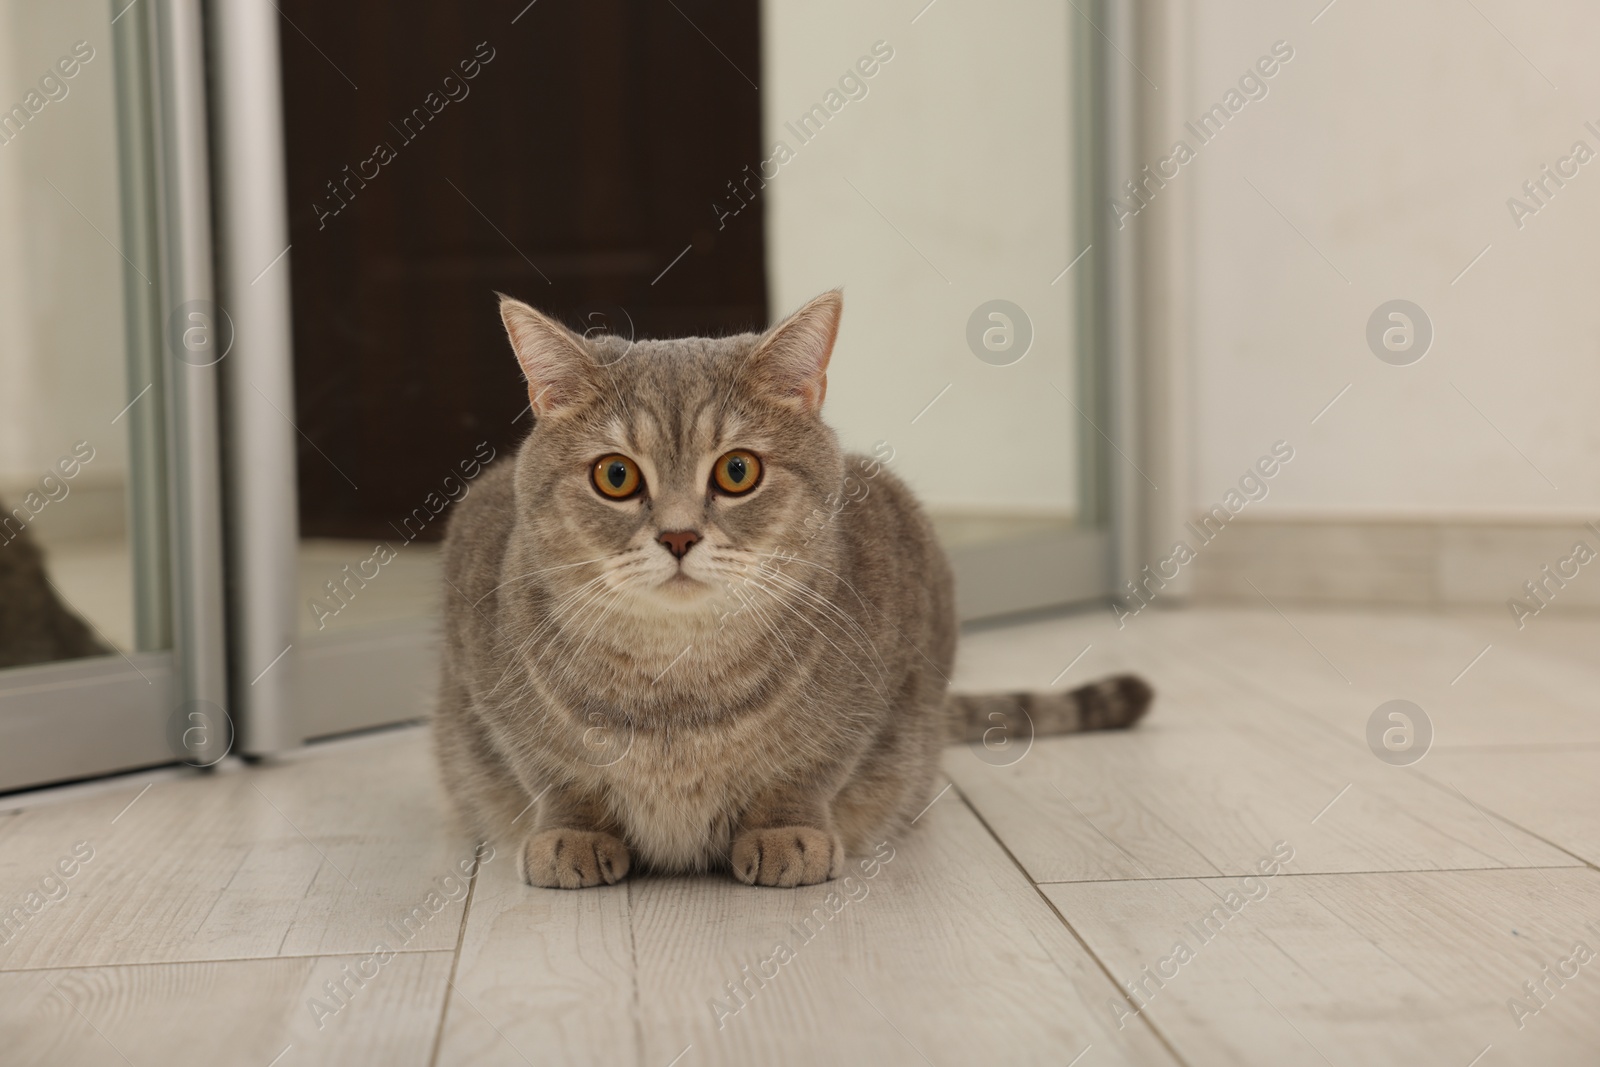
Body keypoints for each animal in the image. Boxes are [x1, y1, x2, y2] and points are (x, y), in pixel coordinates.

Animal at [428, 287, 1152, 889]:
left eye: (737, 470)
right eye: (615, 475)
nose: (679, 536)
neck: (678, 686)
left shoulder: (889, 647)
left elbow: (808, 767)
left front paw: (786, 830)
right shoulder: (485, 669)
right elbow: (556, 773)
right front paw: (571, 832)